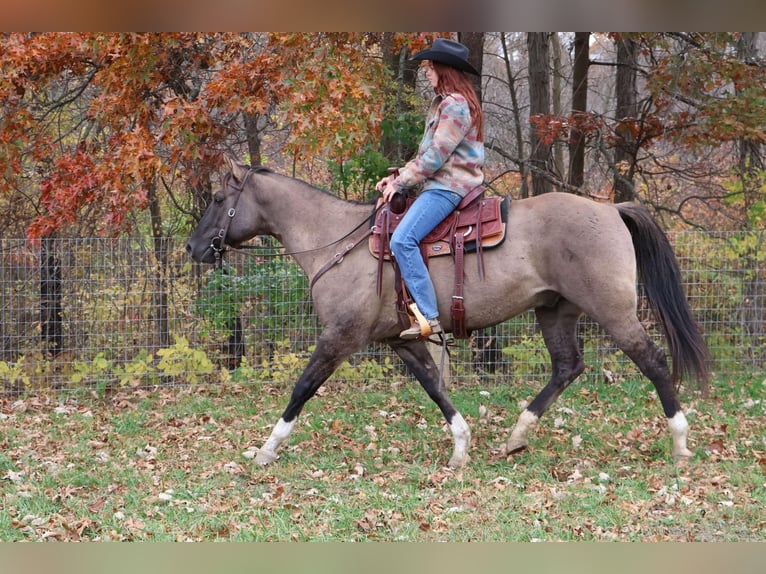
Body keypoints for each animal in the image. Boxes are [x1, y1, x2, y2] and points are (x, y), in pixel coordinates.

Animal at [186, 159, 710, 469]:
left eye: (218, 199)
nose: (192, 247)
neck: (338, 242)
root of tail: (611, 210)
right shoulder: (400, 341)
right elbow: (435, 388)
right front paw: (461, 446)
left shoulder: (341, 337)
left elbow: (303, 388)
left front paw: (267, 448)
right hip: (554, 312)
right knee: (567, 366)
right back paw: (517, 435)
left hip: (613, 311)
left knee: (652, 361)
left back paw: (680, 443)